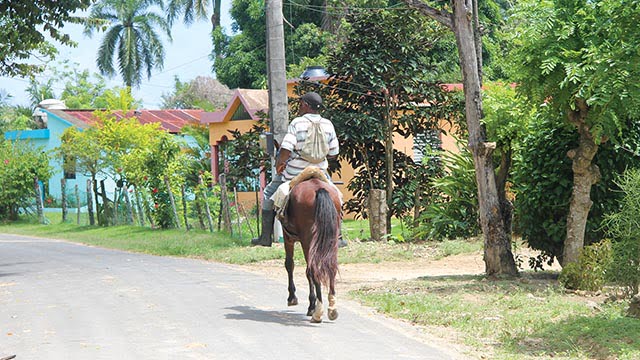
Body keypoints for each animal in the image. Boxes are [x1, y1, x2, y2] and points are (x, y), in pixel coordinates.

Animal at [280, 177, 340, 324]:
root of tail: (319, 188)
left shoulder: (287, 237)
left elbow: (289, 264)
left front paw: (294, 298)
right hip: (332, 240)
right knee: (331, 267)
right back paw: (332, 308)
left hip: (307, 240)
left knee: (313, 270)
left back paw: (317, 312)